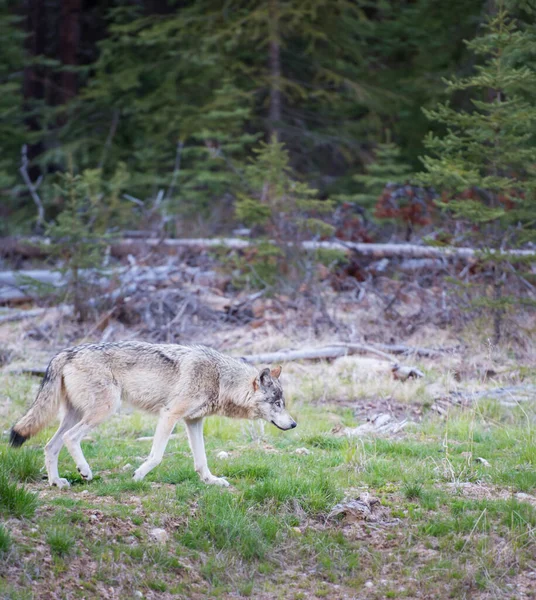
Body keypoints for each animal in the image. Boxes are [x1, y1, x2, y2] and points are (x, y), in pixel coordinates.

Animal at [8, 342, 296, 488]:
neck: (219, 378)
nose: (294, 424)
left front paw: (211, 481)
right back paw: (85, 472)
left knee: (50, 445)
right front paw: (138, 476)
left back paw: (56, 482)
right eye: (277, 403)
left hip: (76, 414)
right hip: (102, 411)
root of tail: (64, 353)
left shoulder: (194, 421)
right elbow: (156, 455)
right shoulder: (170, 415)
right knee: (70, 438)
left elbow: (201, 460)